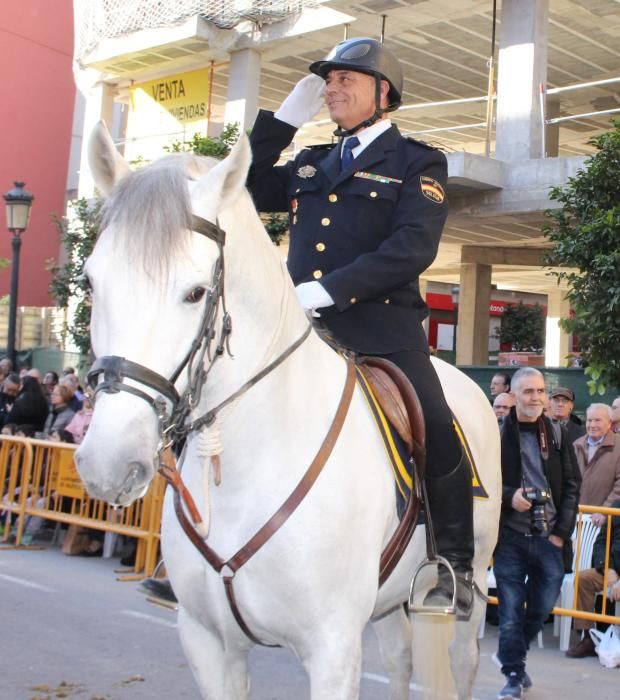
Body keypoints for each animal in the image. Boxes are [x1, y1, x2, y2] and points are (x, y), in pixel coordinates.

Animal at [76, 123, 504, 696]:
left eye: (195, 292)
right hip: (390, 602)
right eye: (89, 282)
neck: (244, 466)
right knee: (399, 661)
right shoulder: (208, 642)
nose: (109, 463)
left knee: (463, 658)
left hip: (471, 587)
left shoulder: (332, 649)